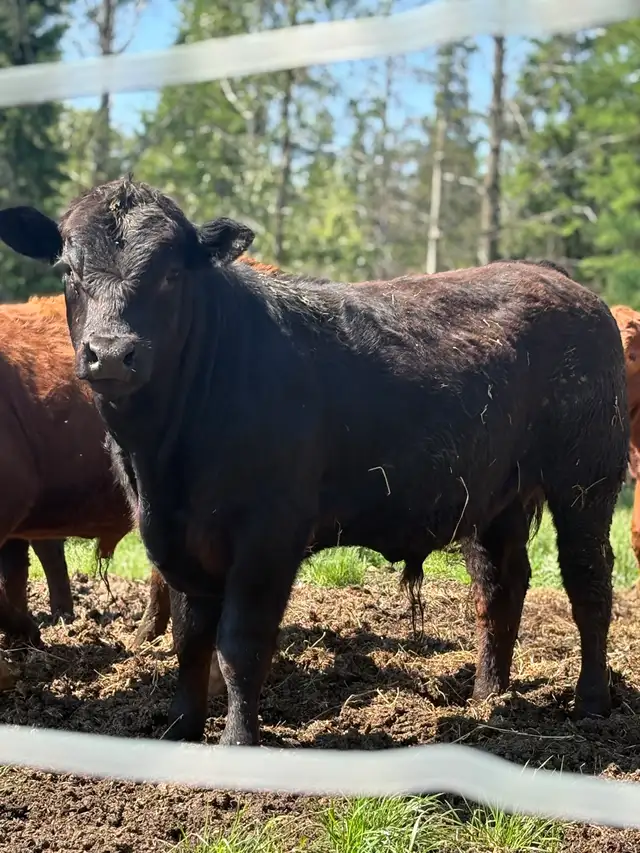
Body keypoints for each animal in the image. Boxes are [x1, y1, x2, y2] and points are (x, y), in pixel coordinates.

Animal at [0, 177, 628, 748]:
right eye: (68, 270)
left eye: (172, 274)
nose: (110, 353)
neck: (163, 455)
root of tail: (550, 275)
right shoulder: (176, 539)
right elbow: (189, 639)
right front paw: (180, 729)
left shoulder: (269, 536)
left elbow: (240, 646)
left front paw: (238, 742)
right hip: (496, 496)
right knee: (500, 586)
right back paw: (487, 696)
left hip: (586, 481)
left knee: (589, 582)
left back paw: (591, 702)